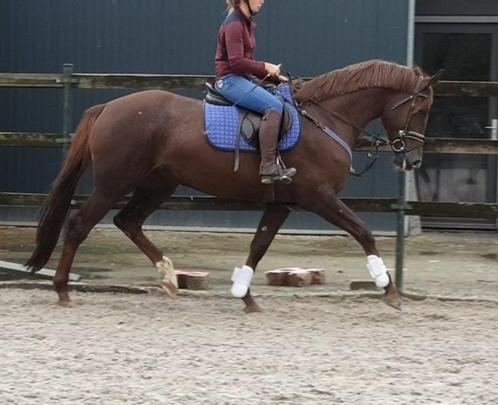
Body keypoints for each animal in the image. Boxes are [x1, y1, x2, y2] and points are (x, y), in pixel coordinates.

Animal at [27, 59, 440, 312]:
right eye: (420, 109)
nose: (412, 160)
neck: (325, 120)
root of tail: (108, 108)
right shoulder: (318, 198)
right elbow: (363, 232)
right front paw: (389, 290)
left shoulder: (282, 203)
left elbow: (258, 246)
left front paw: (245, 295)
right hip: (115, 183)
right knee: (80, 224)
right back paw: (62, 289)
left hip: (158, 185)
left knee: (127, 222)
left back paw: (169, 277)